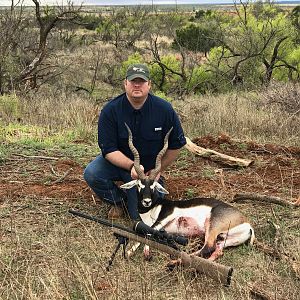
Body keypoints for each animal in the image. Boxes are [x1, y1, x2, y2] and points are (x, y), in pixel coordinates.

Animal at [120, 123, 254, 262]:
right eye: (139, 185)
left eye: (153, 186)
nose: (147, 201)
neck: (152, 209)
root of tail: (248, 224)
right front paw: (131, 252)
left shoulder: (164, 218)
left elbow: (148, 233)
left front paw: (139, 252)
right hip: (224, 239)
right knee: (217, 251)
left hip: (212, 227)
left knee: (207, 248)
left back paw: (175, 262)